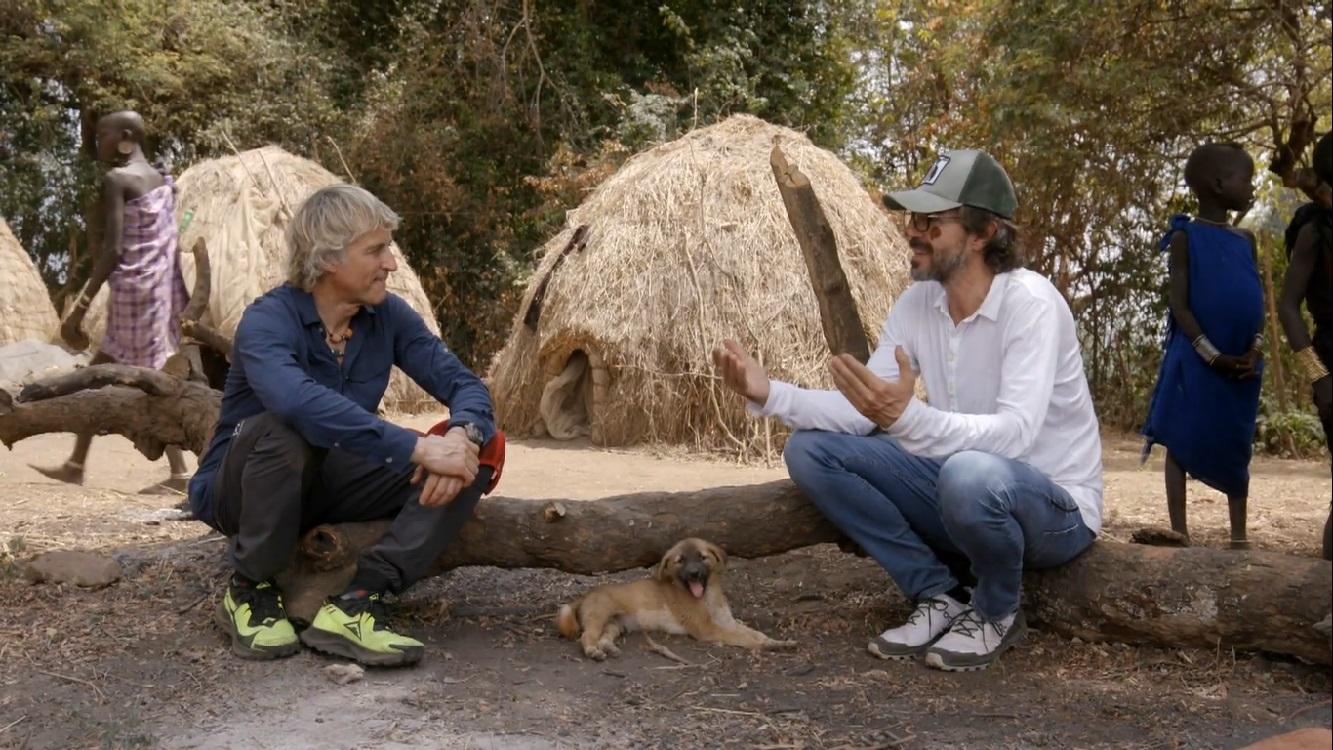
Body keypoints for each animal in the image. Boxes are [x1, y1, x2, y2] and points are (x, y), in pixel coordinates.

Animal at [557, 538, 794, 660]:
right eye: (680, 561)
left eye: (702, 557)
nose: (694, 574)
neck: (707, 597)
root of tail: (584, 596)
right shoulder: (708, 628)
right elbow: (743, 637)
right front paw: (765, 646)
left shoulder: (727, 621)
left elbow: (754, 632)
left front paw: (777, 642)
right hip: (599, 617)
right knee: (587, 636)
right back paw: (593, 651)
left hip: (616, 624)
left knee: (604, 637)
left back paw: (609, 648)